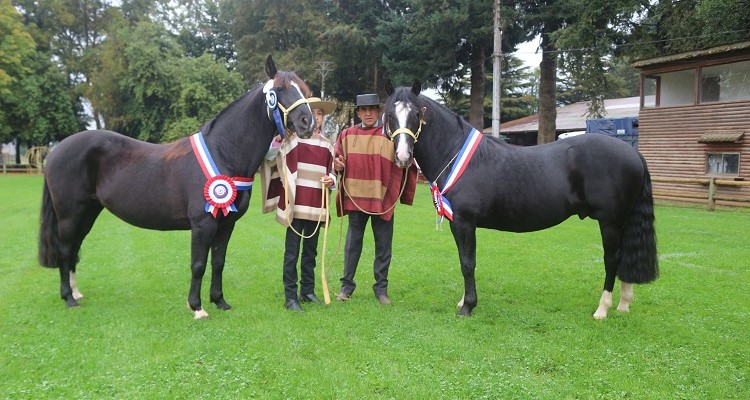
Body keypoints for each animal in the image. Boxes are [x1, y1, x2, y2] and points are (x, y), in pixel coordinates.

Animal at [39, 56, 314, 318]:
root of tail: (55, 151)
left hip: (88, 213)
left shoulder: (227, 223)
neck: (224, 152)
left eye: (303, 89)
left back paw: (76, 292)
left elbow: (219, 262)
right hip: (69, 215)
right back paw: (69, 298)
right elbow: (198, 264)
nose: (307, 122)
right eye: (279, 89)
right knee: (65, 250)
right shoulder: (203, 224)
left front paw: (220, 301)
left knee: (74, 249)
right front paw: (197, 308)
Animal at [384, 81, 660, 318]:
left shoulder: (464, 222)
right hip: (621, 221)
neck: (454, 154)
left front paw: (468, 306)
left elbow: (467, 263)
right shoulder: (459, 223)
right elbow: (465, 260)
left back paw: (602, 309)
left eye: (416, 114)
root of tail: (634, 153)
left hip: (610, 221)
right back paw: (623, 304)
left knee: (612, 259)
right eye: (390, 115)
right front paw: (463, 301)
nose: (403, 156)